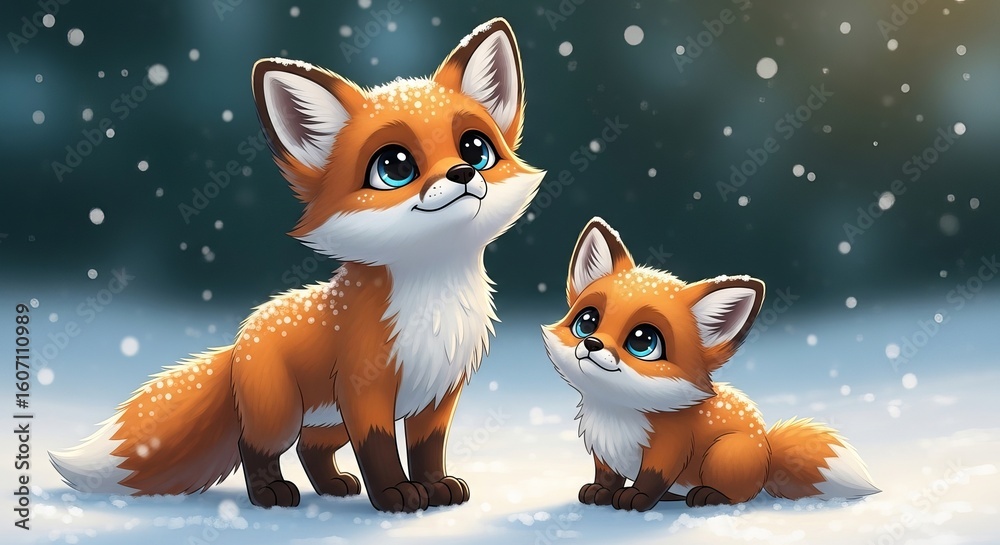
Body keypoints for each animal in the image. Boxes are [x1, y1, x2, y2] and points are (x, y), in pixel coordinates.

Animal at [49, 18, 543, 512]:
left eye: (476, 149)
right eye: (395, 167)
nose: (463, 173)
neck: (434, 300)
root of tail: (240, 339)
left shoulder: (437, 396)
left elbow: (428, 450)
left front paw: (437, 488)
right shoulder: (365, 392)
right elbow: (380, 450)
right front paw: (396, 495)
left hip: (326, 421)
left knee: (311, 449)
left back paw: (333, 486)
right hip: (282, 416)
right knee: (255, 447)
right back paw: (270, 493)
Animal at [542, 218, 879, 512]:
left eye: (643, 342)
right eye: (587, 322)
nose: (592, 344)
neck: (616, 413)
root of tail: (768, 452)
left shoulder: (668, 451)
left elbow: (650, 480)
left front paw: (635, 498)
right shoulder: (604, 451)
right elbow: (607, 477)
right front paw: (599, 492)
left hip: (723, 453)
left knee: (740, 495)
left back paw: (708, 496)